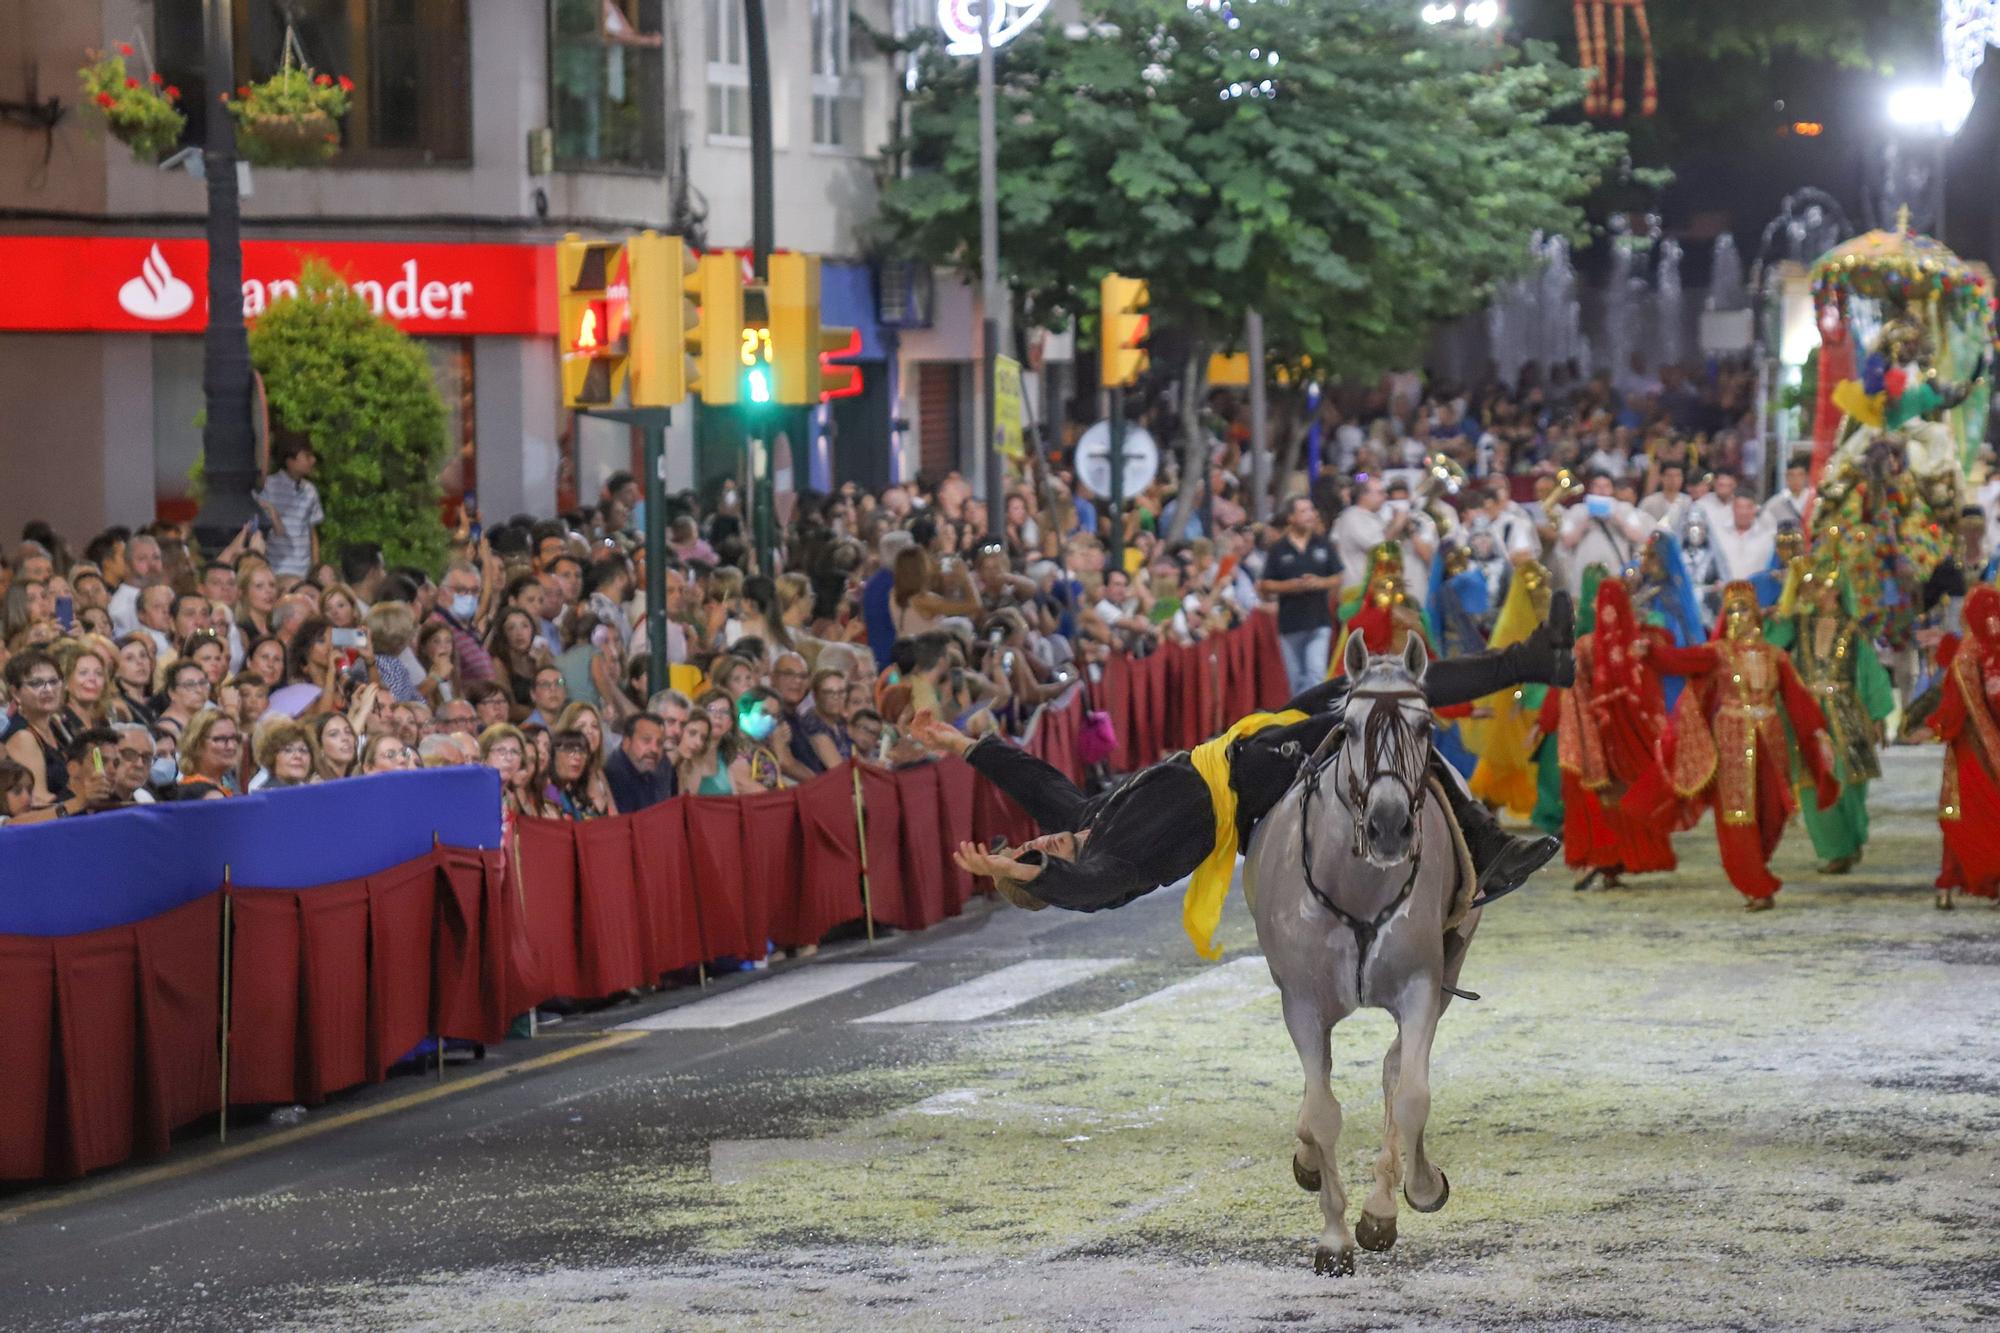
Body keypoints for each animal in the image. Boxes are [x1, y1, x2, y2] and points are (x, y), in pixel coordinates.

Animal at [1248, 628, 1488, 1272]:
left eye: (1426, 726)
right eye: (1352, 728)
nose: (1388, 826)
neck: (1358, 885)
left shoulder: (1422, 985)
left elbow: (1410, 1094)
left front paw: (1392, 1206)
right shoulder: (1303, 1004)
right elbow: (1322, 1111)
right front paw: (1333, 1238)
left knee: (1393, 1070)